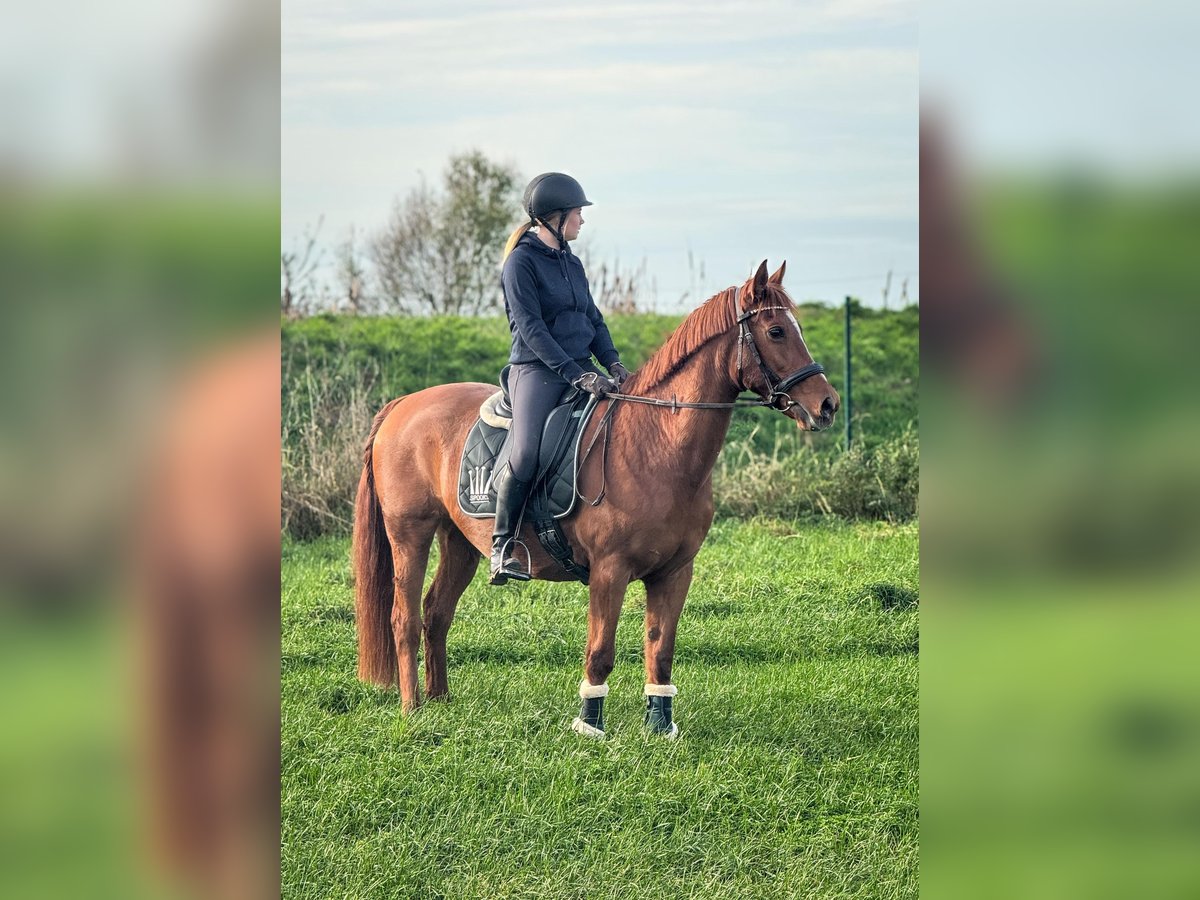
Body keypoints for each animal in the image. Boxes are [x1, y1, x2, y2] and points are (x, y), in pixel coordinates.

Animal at [352, 259, 839, 737]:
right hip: (410, 534)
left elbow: (660, 650)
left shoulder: (675, 572)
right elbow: (601, 650)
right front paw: (590, 725)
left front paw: (660, 726)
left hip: (459, 541)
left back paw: (440, 701)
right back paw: (413, 710)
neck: (656, 444)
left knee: (436, 613)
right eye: (776, 331)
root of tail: (402, 405)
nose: (827, 405)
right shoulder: (610, 570)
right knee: (404, 619)